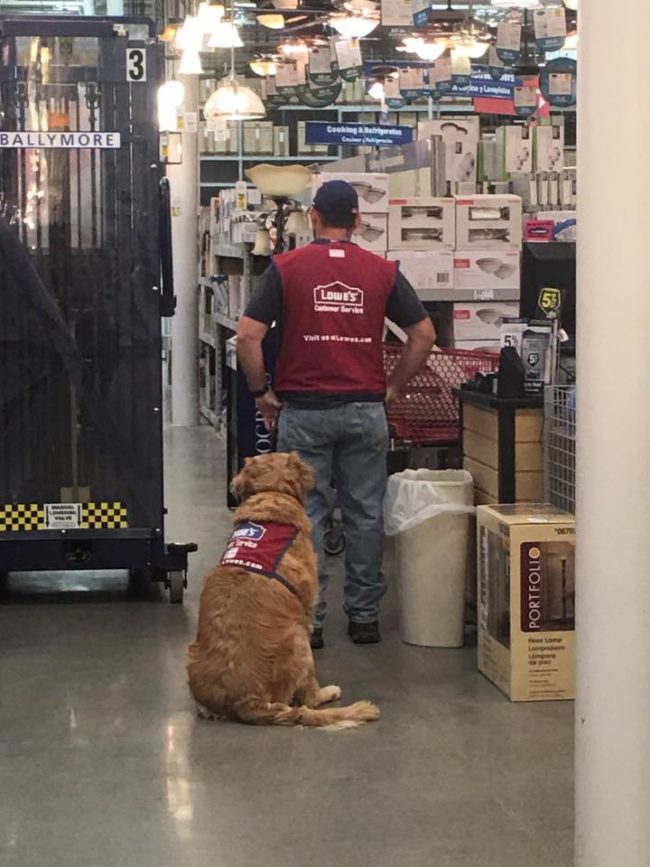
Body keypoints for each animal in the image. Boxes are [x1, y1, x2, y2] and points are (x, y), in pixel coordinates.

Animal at [186, 450, 380, 728]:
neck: (272, 492)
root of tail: (247, 701)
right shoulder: (307, 608)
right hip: (298, 638)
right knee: (308, 698)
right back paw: (327, 691)